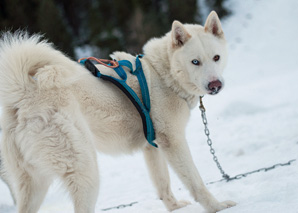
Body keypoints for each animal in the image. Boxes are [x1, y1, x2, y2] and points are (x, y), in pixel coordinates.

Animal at [0, 11, 235, 211]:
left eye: (216, 57)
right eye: (195, 62)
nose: (215, 85)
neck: (162, 73)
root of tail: (24, 94)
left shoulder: (152, 148)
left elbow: (163, 184)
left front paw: (174, 207)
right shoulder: (173, 142)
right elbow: (196, 182)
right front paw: (217, 206)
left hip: (33, 183)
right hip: (86, 172)